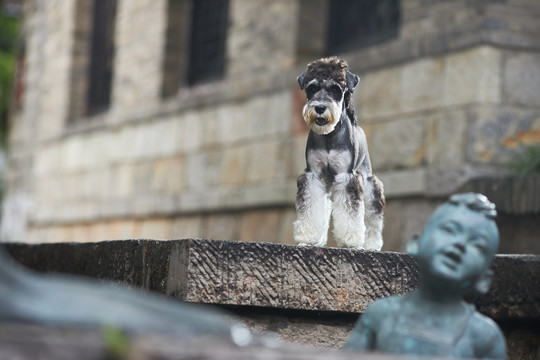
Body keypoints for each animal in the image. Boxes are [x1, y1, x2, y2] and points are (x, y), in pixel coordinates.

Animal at [294, 57, 386, 249]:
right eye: (311, 88)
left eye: (336, 89)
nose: (320, 108)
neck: (329, 136)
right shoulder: (313, 176)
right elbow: (311, 209)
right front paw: (307, 238)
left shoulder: (347, 177)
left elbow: (351, 214)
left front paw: (351, 241)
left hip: (369, 185)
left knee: (373, 218)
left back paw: (372, 244)